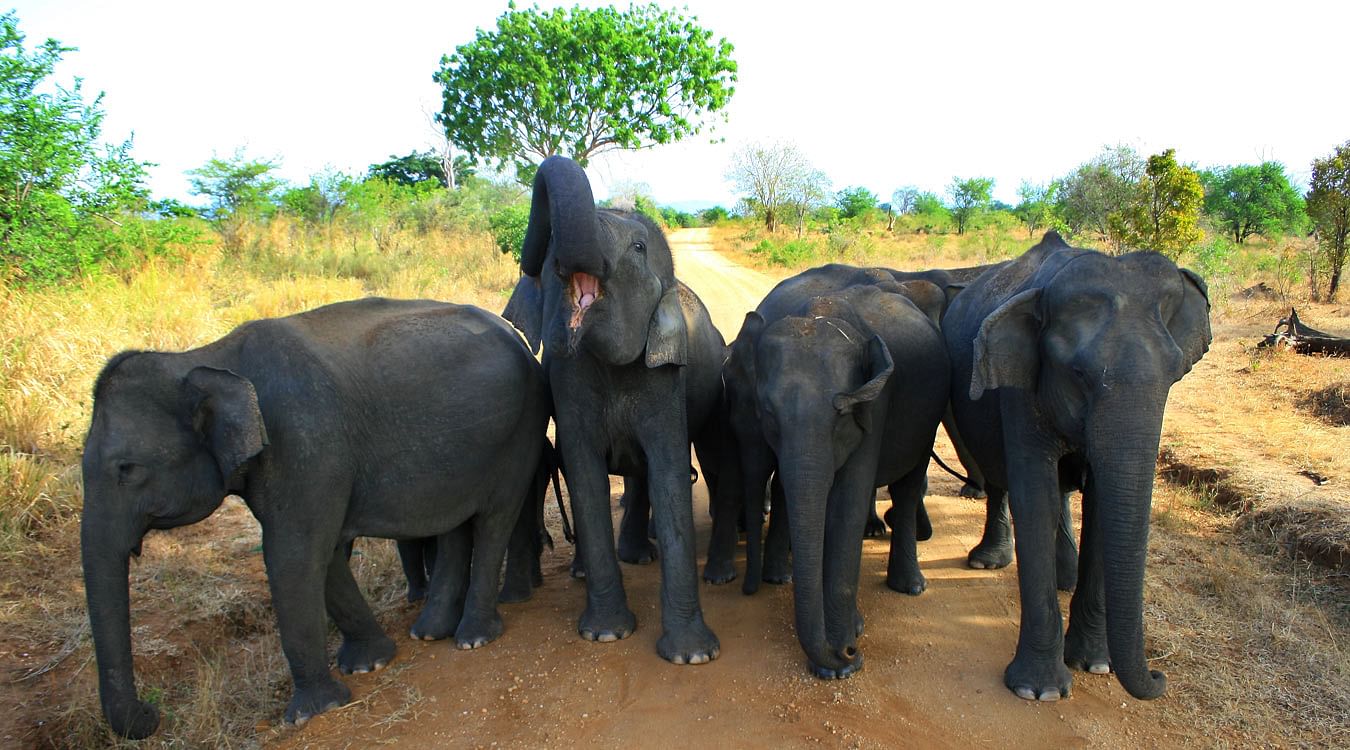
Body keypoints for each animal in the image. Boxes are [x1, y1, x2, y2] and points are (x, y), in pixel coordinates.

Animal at [78, 299, 550, 739]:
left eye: (127, 469)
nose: (152, 714)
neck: (205, 356)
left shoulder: (305, 444)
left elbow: (293, 556)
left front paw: (312, 711)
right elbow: (322, 555)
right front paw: (367, 665)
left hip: (519, 430)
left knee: (495, 518)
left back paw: (473, 638)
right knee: (453, 524)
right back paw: (430, 633)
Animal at [499, 155, 729, 666]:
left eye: (639, 248)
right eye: (548, 249)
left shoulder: (665, 375)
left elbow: (669, 471)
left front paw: (692, 658)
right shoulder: (569, 379)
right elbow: (584, 474)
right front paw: (605, 635)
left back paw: (644, 557)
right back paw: (604, 565)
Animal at [750, 283, 950, 679]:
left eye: (841, 417)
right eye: (768, 415)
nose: (850, 652)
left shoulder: (876, 406)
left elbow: (846, 507)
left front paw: (841, 667)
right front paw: (840, 651)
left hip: (927, 422)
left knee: (908, 486)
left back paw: (910, 588)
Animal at [939, 233, 1215, 701]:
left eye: (1175, 374)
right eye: (1079, 374)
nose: (1160, 676)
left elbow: (1103, 502)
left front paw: (1096, 665)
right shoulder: (1020, 383)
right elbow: (1036, 496)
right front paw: (1039, 692)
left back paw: (1063, 578)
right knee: (1002, 478)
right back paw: (988, 562)